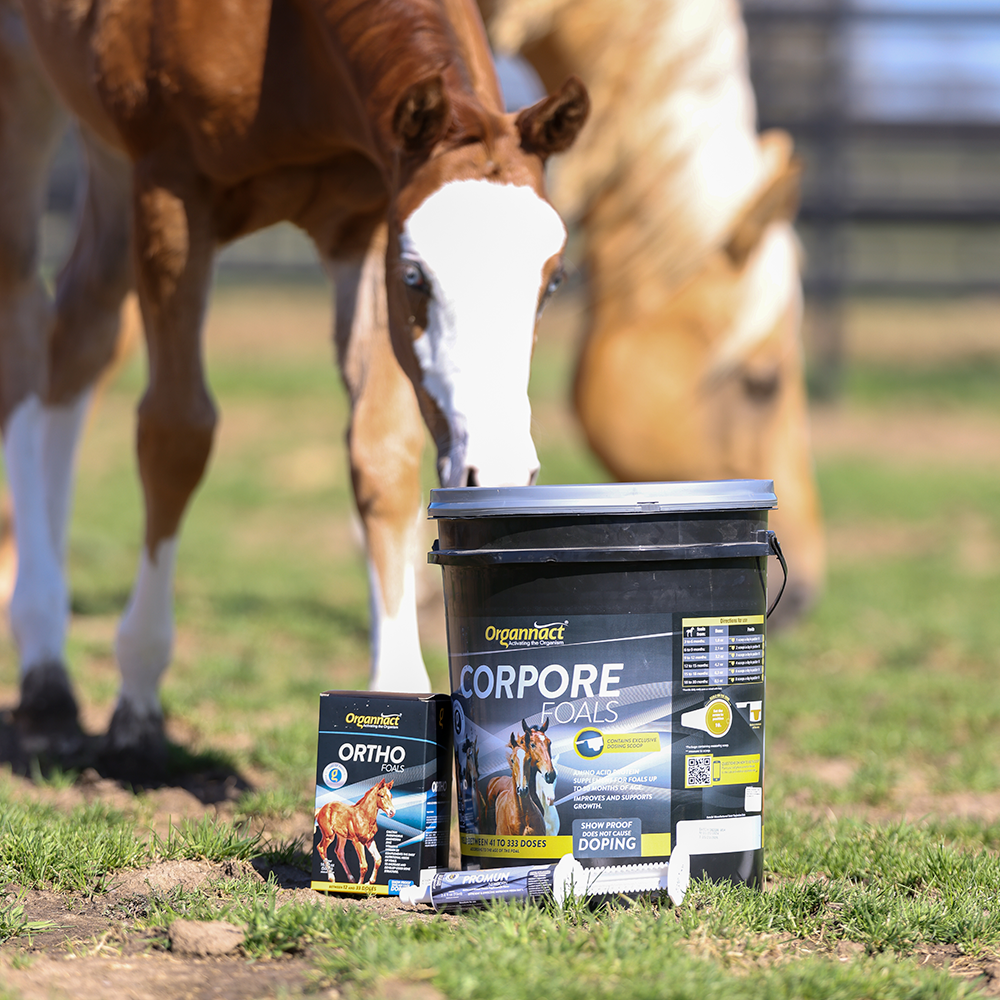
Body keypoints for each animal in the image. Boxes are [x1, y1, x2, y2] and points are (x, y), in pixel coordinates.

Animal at [2, 0, 588, 767]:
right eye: (416, 278)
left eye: (553, 282)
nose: (495, 473)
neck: (286, 37)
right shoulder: (170, 189)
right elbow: (176, 433)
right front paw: (138, 696)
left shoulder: (365, 217)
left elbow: (380, 454)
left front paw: (397, 692)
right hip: (34, 99)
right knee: (23, 337)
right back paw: (43, 674)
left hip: (103, 155)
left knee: (76, 341)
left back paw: (47, 669)